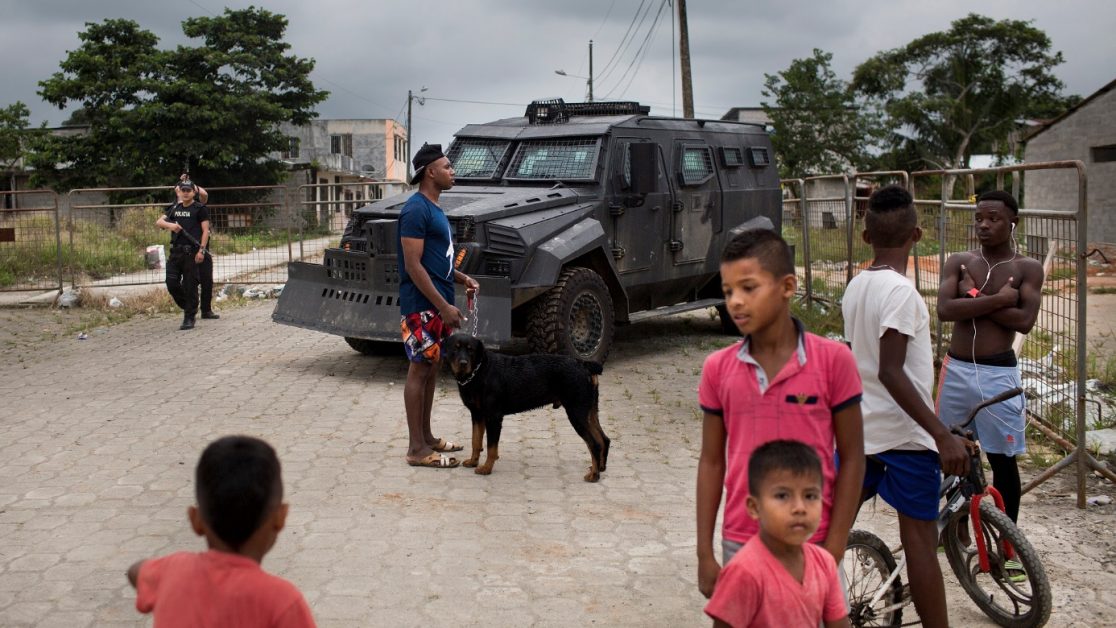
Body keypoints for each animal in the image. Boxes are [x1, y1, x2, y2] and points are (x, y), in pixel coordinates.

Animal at [439, 334, 611, 481]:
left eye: (471, 350)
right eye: (455, 348)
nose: (463, 363)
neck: (479, 370)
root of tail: (584, 365)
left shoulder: (493, 417)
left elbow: (491, 447)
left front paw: (486, 468)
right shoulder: (477, 415)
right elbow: (476, 441)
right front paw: (473, 461)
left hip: (577, 412)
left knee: (594, 443)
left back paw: (594, 475)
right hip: (589, 411)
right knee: (604, 439)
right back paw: (600, 468)